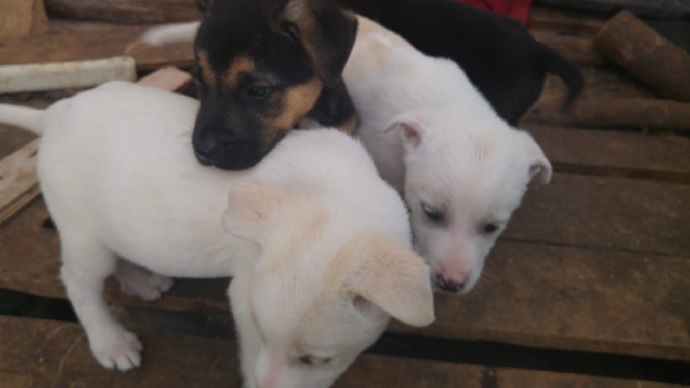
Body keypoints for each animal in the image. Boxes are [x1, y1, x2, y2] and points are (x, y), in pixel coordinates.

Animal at [0, 80, 430, 386]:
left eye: (315, 359)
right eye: (261, 332)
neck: (334, 193)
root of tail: (55, 113)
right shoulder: (244, 294)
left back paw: (143, 284)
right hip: (82, 232)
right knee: (79, 283)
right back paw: (111, 342)